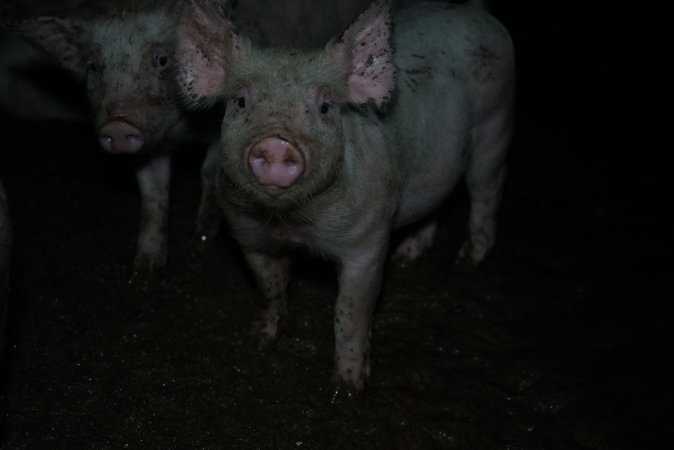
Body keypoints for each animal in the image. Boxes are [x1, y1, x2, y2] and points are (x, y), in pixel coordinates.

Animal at [12, 1, 223, 274]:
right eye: (93, 66)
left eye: (162, 60)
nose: (118, 125)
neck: (180, 135)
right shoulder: (146, 152)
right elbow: (153, 194)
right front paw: (144, 272)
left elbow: (210, 174)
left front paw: (200, 243)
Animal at [175, 0, 516, 398]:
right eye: (241, 101)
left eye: (325, 107)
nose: (276, 143)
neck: (294, 223)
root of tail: (475, 11)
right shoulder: (248, 235)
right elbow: (269, 287)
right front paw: (261, 340)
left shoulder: (367, 242)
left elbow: (350, 313)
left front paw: (348, 388)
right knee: (439, 202)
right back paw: (407, 257)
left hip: (496, 124)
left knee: (487, 191)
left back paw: (468, 261)